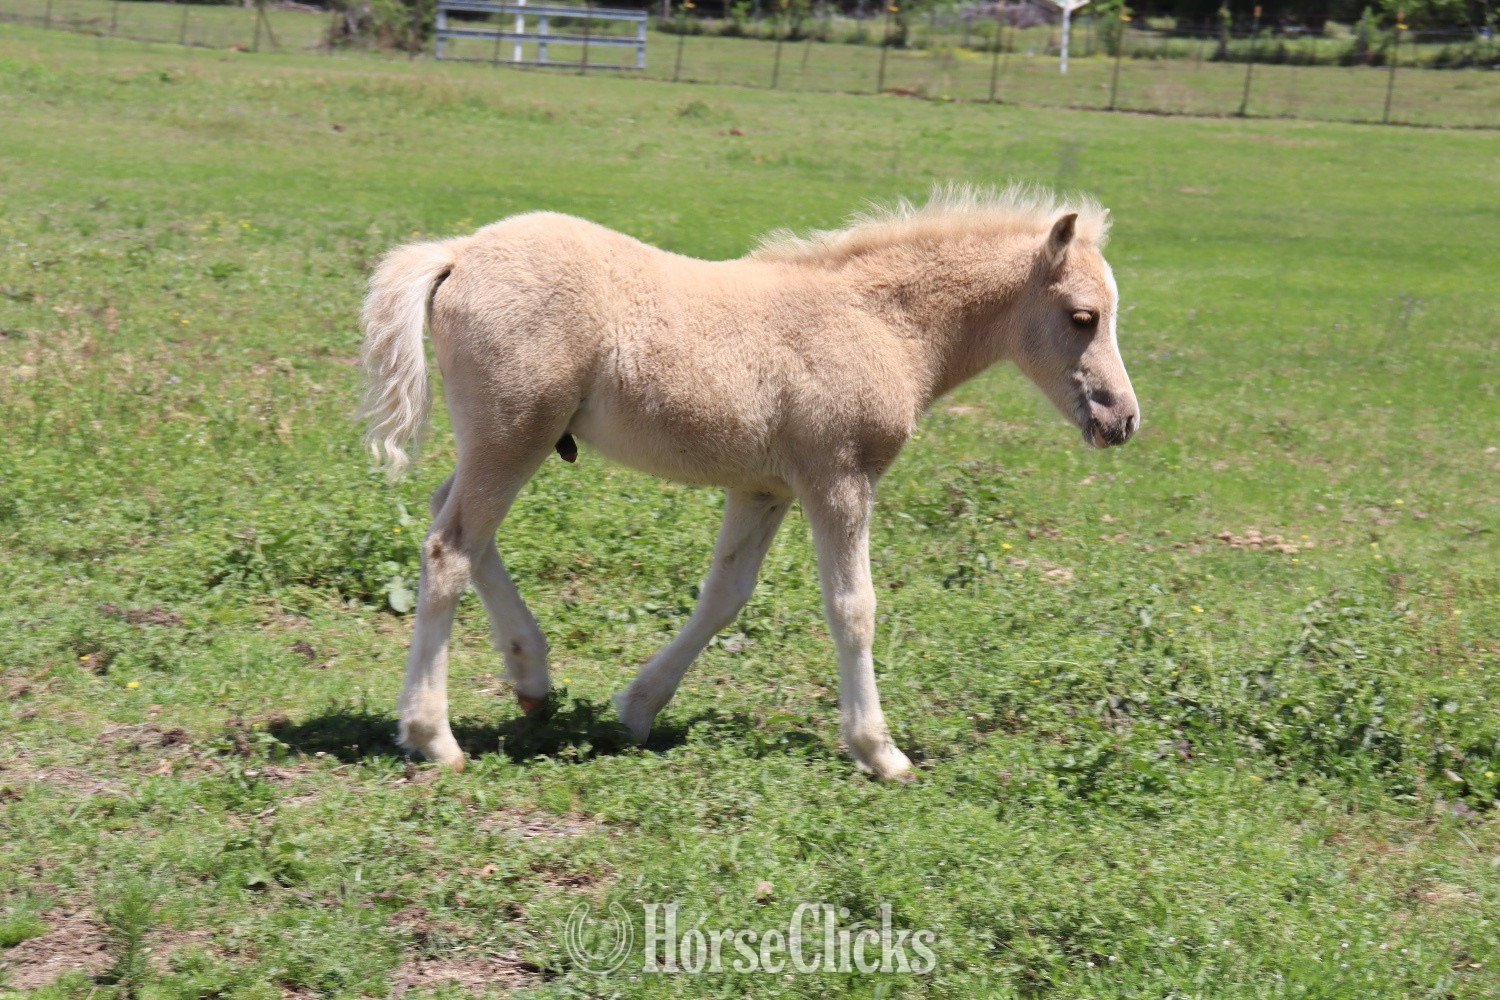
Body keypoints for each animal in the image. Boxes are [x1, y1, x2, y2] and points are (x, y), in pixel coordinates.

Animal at [359, 186, 1139, 781]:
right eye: (1082, 317)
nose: (1123, 419)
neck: (882, 323)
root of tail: (457, 253)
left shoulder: (764, 489)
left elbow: (724, 596)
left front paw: (636, 709)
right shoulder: (839, 479)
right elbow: (853, 608)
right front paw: (880, 752)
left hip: (509, 437)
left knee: (453, 519)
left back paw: (531, 676)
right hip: (514, 431)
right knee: (450, 548)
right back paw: (433, 738)